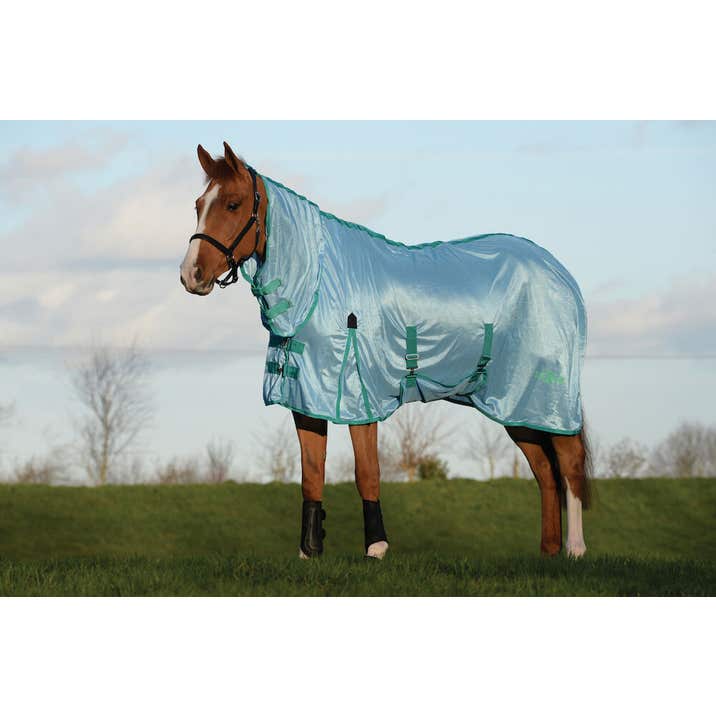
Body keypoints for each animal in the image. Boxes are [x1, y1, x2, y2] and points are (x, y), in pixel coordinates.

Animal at [180, 141, 591, 560]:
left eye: (232, 204)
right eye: (199, 205)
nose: (190, 275)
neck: (320, 283)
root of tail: (560, 273)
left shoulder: (360, 396)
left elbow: (367, 472)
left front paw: (376, 547)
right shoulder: (306, 397)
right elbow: (311, 474)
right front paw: (309, 552)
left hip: (548, 395)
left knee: (570, 462)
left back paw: (575, 550)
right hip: (516, 405)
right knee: (545, 472)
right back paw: (548, 552)